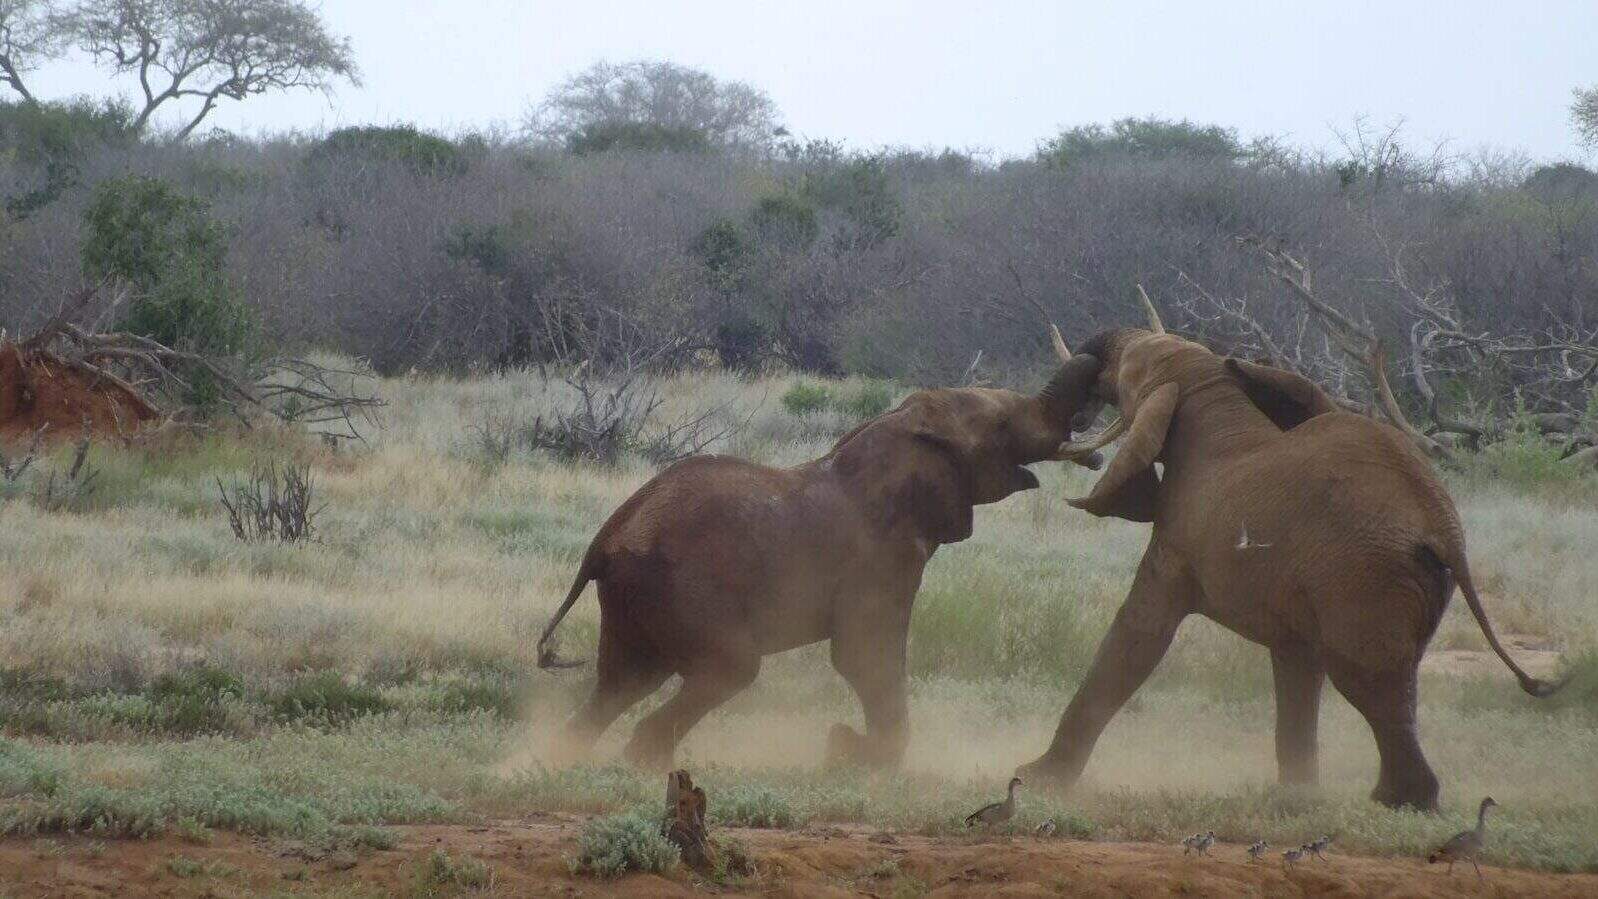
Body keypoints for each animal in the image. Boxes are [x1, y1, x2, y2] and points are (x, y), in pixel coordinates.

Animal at [537, 339, 1105, 771]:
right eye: (1002, 427)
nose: (1095, 451)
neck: (898, 424)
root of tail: (604, 540)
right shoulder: (881, 560)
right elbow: (865, 655)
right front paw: (856, 755)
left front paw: (851, 751)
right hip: (684, 589)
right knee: (727, 669)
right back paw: (645, 762)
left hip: (635, 599)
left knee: (623, 683)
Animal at [1018, 305, 1563, 810]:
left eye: (1129, 372)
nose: (1081, 418)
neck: (1210, 392)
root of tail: (1442, 526)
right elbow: (1296, 666)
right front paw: (1297, 793)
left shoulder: (1179, 540)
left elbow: (1139, 634)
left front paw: (1034, 778)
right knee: (1394, 680)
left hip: (1365, 581)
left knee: (1368, 680)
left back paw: (1396, 801)